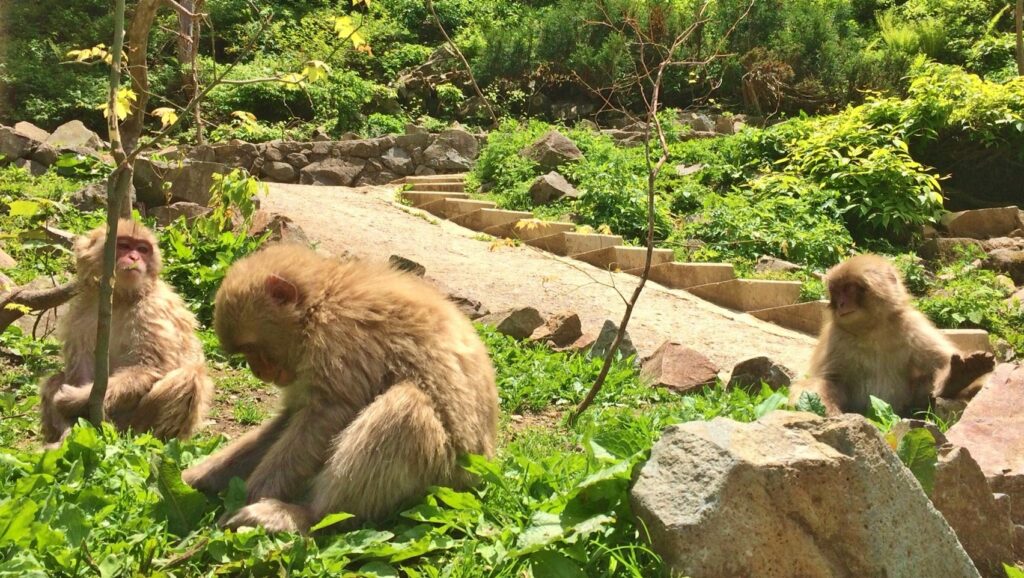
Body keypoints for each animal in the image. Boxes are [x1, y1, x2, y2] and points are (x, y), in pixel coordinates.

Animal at [40, 220, 214, 446]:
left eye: (142, 249)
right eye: (123, 246)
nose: (134, 258)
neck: (119, 299)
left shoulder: (153, 310)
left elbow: (149, 367)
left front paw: (75, 399)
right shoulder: (83, 311)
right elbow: (79, 366)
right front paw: (74, 417)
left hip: (134, 425)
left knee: (189, 377)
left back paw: (147, 441)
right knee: (55, 378)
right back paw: (65, 435)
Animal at [185, 242, 503, 532]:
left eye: (253, 350)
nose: (259, 371)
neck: (319, 303)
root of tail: (478, 473)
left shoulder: (339, 339)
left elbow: (326, 415)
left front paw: (249, 496)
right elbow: (291, 417)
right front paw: (198, 477)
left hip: (443, 477)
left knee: (405, 408)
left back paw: (305, 515)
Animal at [790, 255, 991, 418]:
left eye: (849, 288)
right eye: (836, 291)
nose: (840, 303)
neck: (871, 329)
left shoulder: (913, 326)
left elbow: (942, 360)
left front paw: (961, 375)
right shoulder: (836, 339)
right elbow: (828, 380)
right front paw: (828, 411)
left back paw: (957, 380)